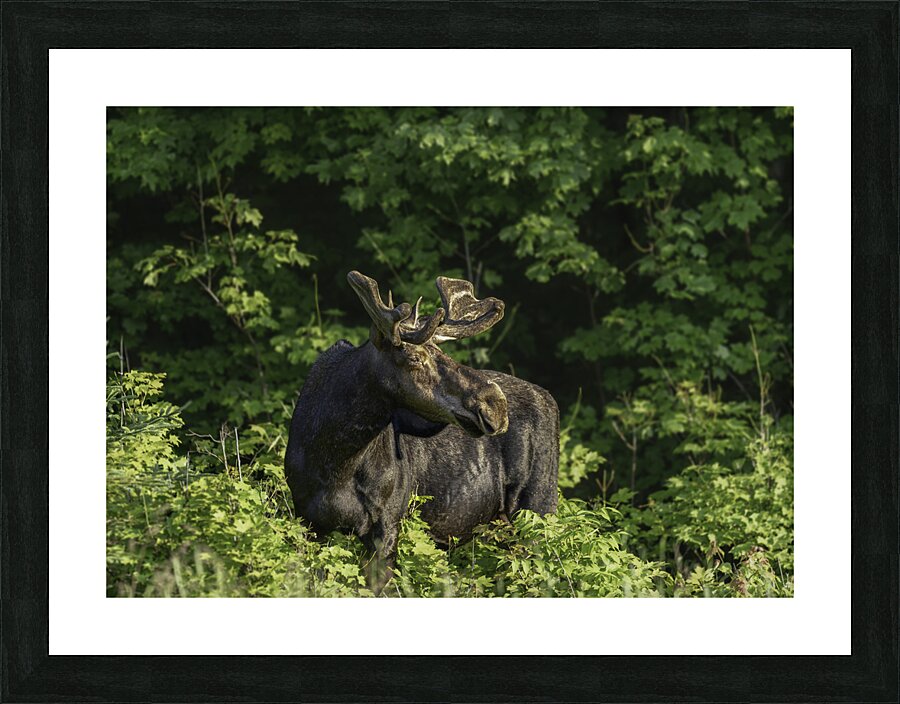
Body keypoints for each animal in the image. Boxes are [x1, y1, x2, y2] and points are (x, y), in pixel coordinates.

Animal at [284, 270, 559, 592]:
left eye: (440, 351)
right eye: (415, 358)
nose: (495, 404)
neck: (336, 458)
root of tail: (551, 400)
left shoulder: (387, 524)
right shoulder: (308, 520)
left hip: (538, 508)